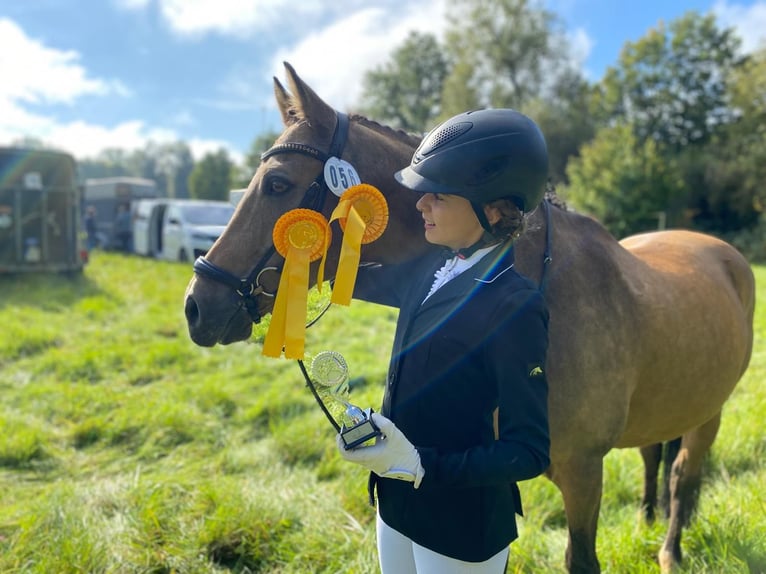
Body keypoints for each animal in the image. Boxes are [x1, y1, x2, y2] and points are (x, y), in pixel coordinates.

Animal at [184, 63, 756, 574]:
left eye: (278, 184)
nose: (196, 305)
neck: (542, 285)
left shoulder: (583, 471)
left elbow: (581, 558)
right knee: (654, 457)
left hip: (710, 413)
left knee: (682, 477)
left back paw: (670, 552)